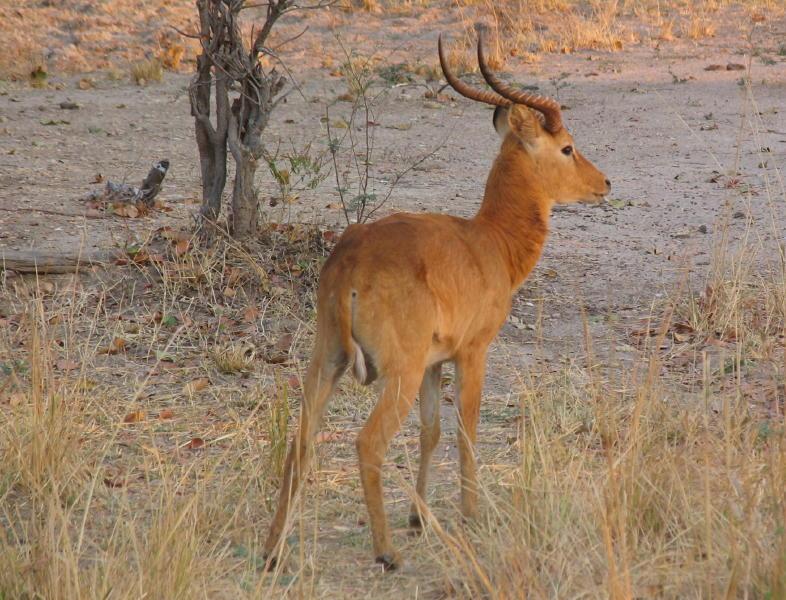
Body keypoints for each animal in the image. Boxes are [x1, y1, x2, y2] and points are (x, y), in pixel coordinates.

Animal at [260, 32, 608, 572]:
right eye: (567, 147)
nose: (604, 184)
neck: (490, 243)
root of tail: (350, 263)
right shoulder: (473, 352)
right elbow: (466, 430)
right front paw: (471, 514)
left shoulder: (433, 363)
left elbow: (431, 432)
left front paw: (420, 517)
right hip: (394, 373)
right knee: (368, 443)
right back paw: (386, 553)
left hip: (328, 359)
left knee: (300, 442)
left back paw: (273, 552)